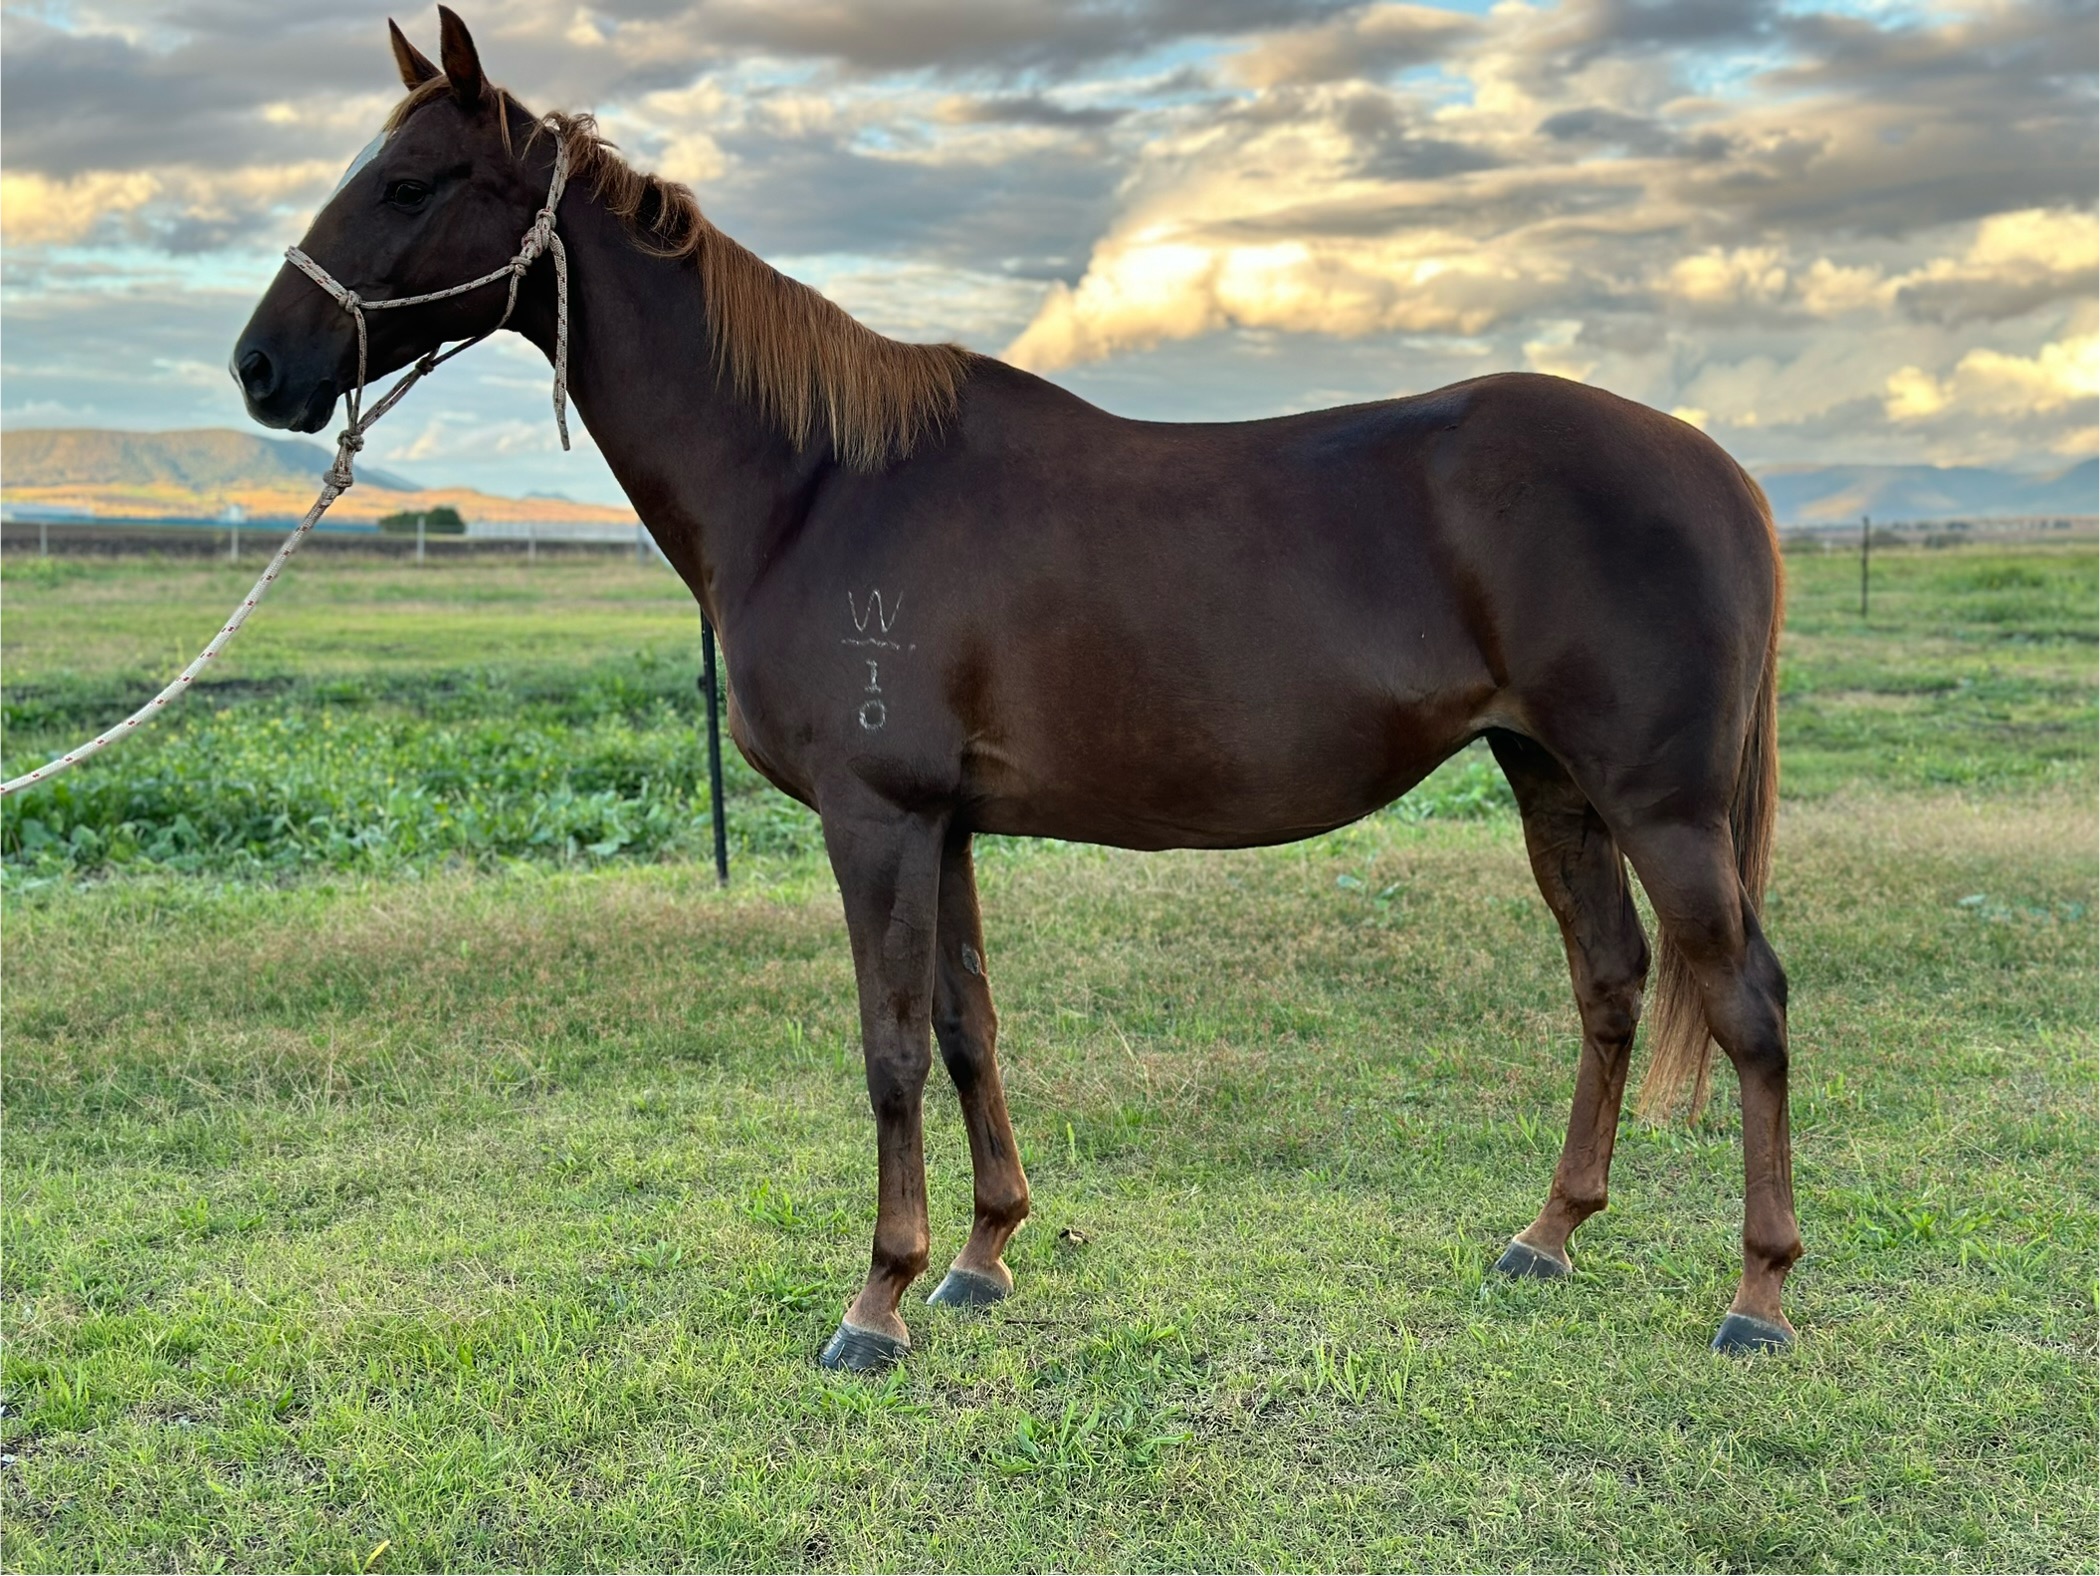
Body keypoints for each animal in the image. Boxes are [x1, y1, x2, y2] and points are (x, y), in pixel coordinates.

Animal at [232, 8, 1801, 1371]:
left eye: (407, 183)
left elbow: (888, 1051)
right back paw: (1549, 1235)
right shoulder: (944, 826)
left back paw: (1760, 1296)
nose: (259, 367)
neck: (813, 483)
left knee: (1748, 1002)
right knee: (1611, 982)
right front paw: (983, 1258)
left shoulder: (874, 819)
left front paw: (877, 1302)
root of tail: (1716, 467)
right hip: (1552, 781)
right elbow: (966, 1027)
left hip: (1662, 807)